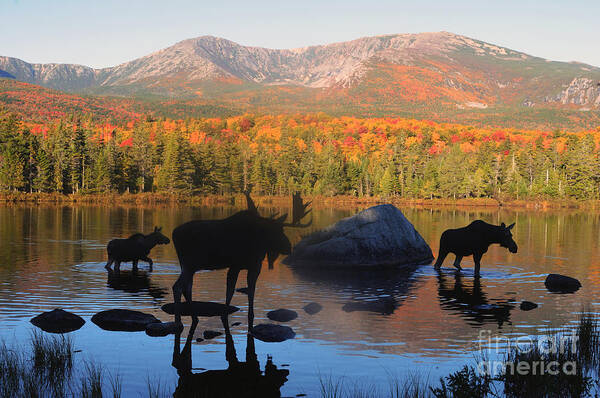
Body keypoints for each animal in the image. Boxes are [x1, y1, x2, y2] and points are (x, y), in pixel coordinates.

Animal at [169, 190, 310, 326]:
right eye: (274, 231)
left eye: (282, 229)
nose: (289, 247)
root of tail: (174, 233)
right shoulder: (240, 266)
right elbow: (235, 292)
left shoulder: (248, 266)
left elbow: (246, 292)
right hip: (190, 264)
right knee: (178, 287)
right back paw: (178, 321)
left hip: (188, 266)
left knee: (187, 288)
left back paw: (194, 317)